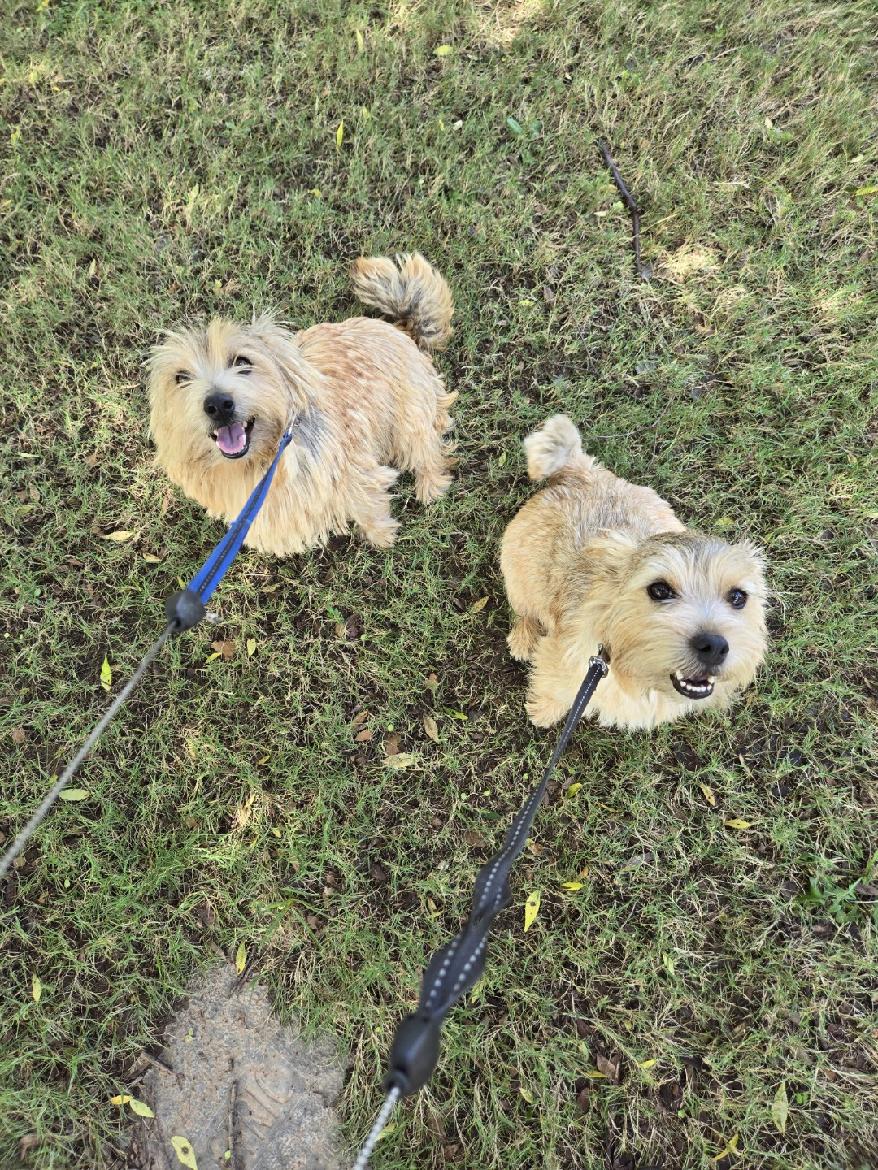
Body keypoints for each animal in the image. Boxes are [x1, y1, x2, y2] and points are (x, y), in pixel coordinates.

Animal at [148, 253, 456, 556]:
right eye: (181, 378)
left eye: (242, 361)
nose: (218, 404)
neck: (262, 463)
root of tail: (399, 329)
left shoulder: (357, 475)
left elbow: (370, 508)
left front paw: (382, 536)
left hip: (410, 419)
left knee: (428, 450)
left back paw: (430, 486)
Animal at [500, 416, 768, 730]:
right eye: (659, 589)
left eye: (738, 597)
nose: (714, 646)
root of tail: (585, 471)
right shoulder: (558, 660)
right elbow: (553, 690)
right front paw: (543, 712)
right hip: (518, 575)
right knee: (526, 611)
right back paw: (523, 639)